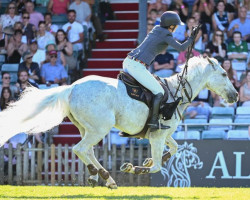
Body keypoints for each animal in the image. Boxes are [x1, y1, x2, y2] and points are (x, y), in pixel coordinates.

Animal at [0, 56, 238, 189]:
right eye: (224, 74)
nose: (235, 95)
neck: (175, 93)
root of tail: (71, 88)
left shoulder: (164, 134)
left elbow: (175, 148)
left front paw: (147, 161)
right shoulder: (158, 136)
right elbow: (158, 165)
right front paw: (135, 167)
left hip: (88, 128)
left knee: (89, 151)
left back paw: (106, 179)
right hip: (99, 128)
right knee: (80, 149)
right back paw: (99, 175)